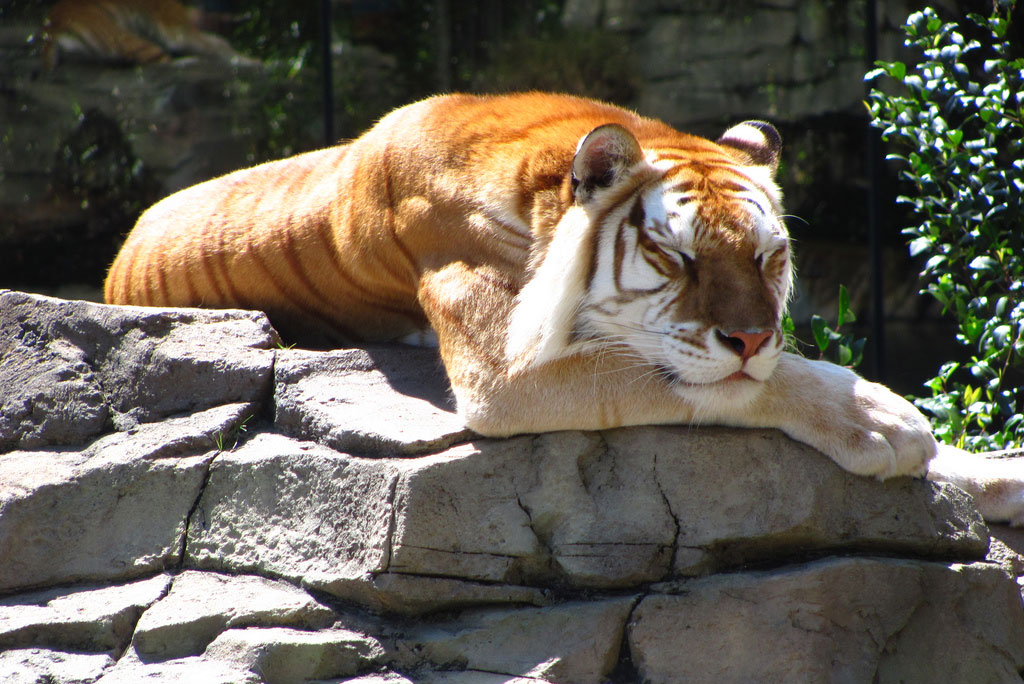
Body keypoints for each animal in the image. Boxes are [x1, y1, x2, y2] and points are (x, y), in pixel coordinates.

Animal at [43, 0, 260, 70]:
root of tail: (53, 27)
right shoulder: (175, 26)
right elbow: (215, 45)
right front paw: (251, 62)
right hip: (125, 39)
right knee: (162, 62)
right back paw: (188, 61)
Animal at [105, 92, 1024, 524]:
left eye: (769, 257)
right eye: (678, 257)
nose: (752, 331)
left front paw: (990, 473)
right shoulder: (507, 372)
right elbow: (731, 383)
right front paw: (880, 419)